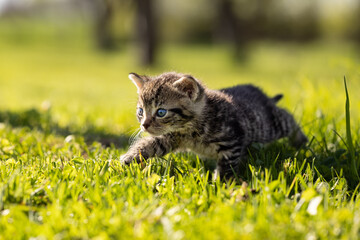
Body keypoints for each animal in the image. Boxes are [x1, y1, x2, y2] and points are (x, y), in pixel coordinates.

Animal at [120, 72, 306, 179]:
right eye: (140, 111)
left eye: (161, 112)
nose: (144, 125)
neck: (190, 128)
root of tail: (262, 94)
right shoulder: (170, 137)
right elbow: (150, 144)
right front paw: (128, 158)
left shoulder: (232, 141)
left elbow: (226, 166)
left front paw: (221, 186)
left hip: (269, 126)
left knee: (287, 117)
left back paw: (301, 142)